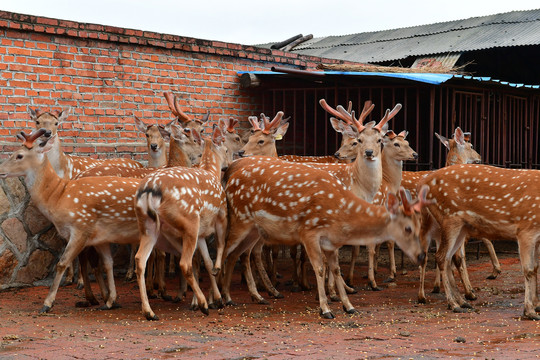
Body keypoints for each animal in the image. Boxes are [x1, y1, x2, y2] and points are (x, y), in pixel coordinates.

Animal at [0, 129, 144, 312]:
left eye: (19, 155)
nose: (0, 169)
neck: (60, 196)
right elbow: (100, 263)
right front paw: (107, 299)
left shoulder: (81, 229)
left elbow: (62, 263)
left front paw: (47, 303)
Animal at [135, 126, 230, 320]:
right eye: (225, 149)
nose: (228, 165)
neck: (211, 170)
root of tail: (150, 191)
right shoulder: (222, 214)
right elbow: (219, 249)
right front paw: (215, 292)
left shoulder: (201, 234)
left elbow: (207, 262)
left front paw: (217, 298)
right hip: (190, 221)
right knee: (185, 263)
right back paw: (202, 305)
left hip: (149, 227)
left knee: (140, 260)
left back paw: (149, 311)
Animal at [422, 165, 540, 320]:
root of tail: (425, 182)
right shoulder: (526, 230)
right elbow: (529, 270)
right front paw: (530, 311)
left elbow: (537, 268)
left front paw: (537, 305)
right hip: (449, 217)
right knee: (441, 257)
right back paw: (453, 304)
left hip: (461, 226)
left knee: (450, 258)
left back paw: (462, 302)